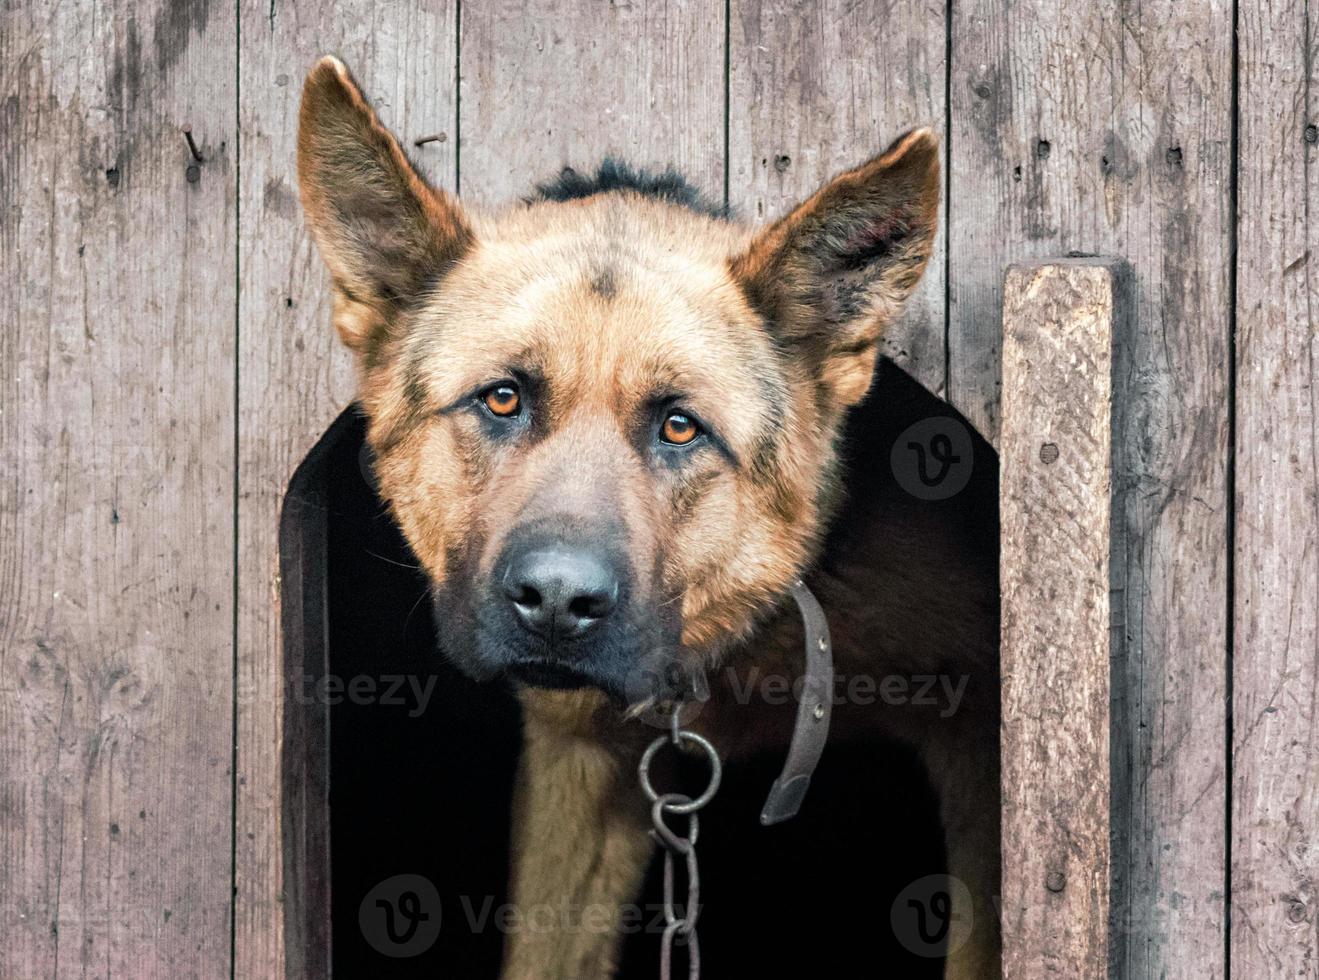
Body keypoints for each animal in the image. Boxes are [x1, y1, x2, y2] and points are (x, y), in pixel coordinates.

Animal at [299, 57, 997, 976]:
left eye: (678, 426)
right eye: (502, 398)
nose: (557, 604)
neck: (739, 652)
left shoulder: (979, 745)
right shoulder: (576, 769)